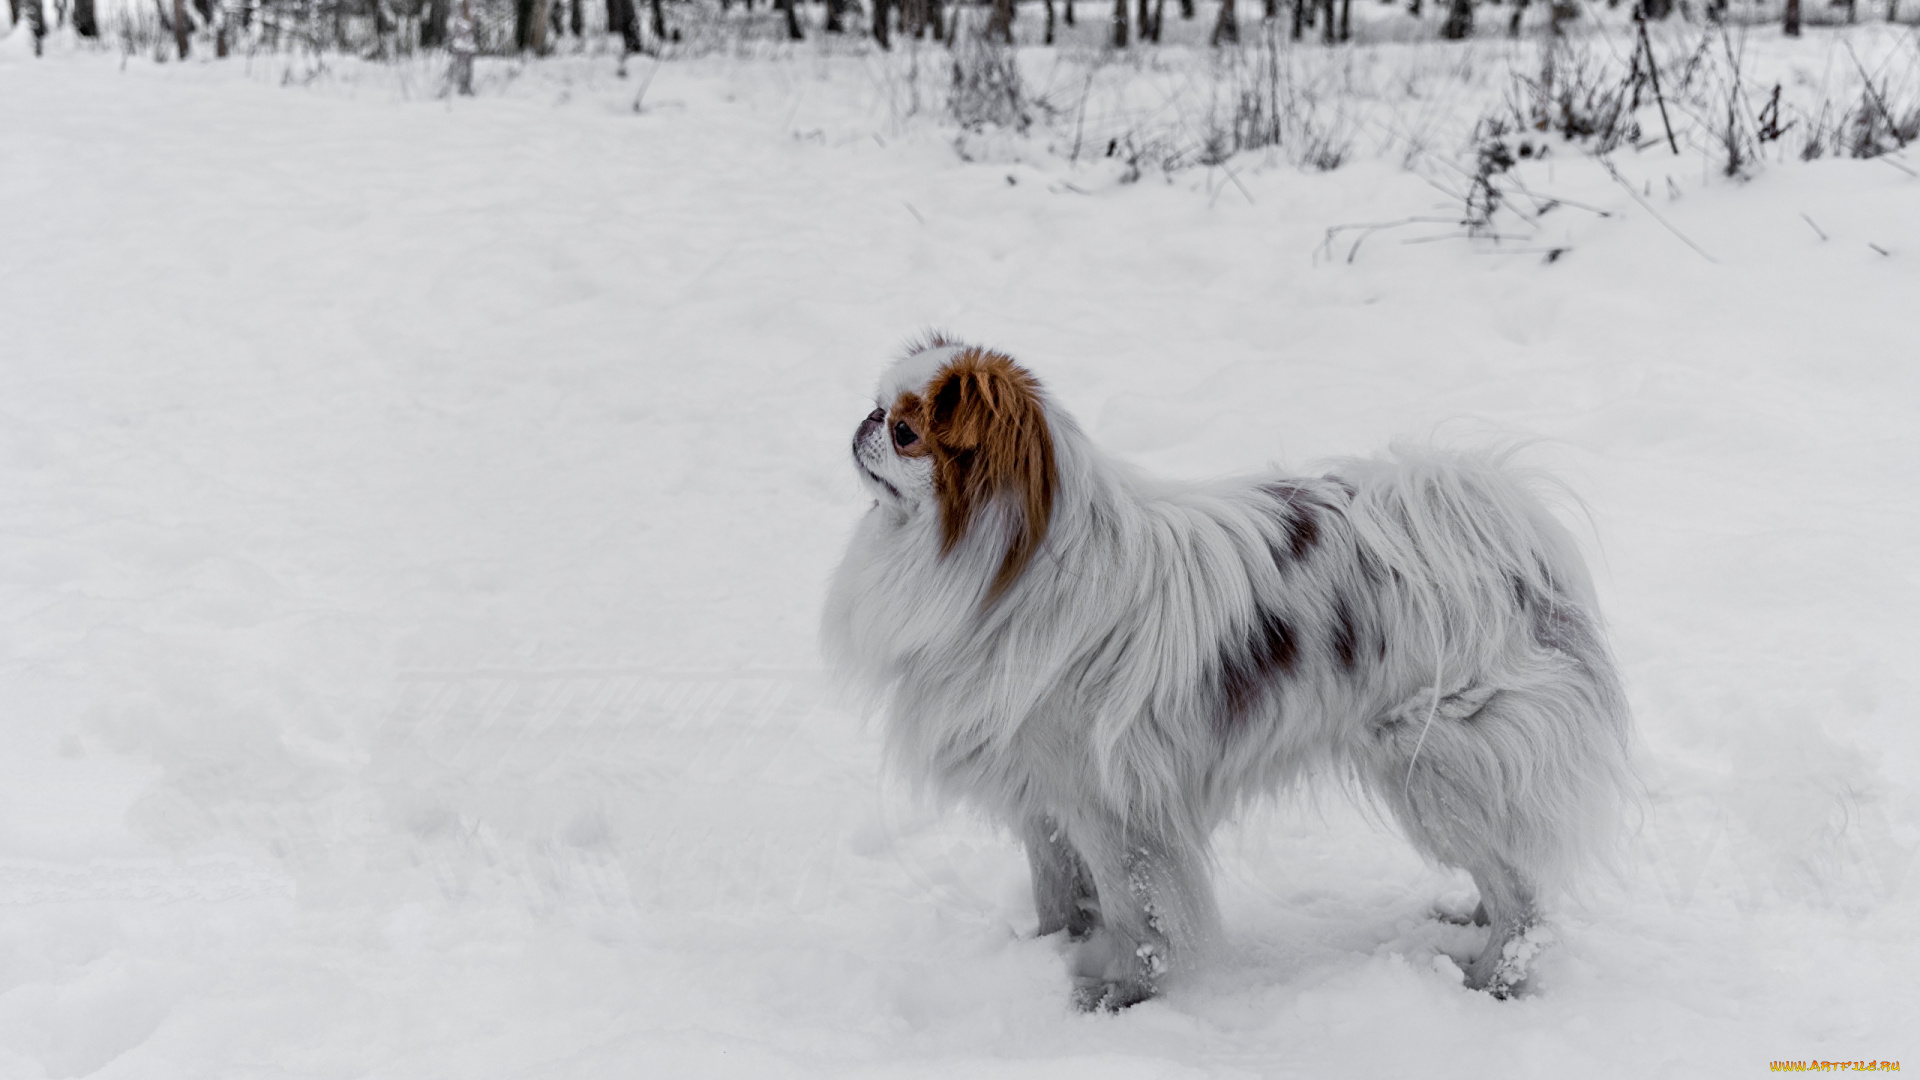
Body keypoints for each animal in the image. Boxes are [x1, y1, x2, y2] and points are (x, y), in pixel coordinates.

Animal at [825, 332, 1635, 1006]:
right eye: (879, 408)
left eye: (905, 432)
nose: (864, 421)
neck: (1000, 568)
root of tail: (1504, 550)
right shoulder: (1045, 800)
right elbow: (1058, 895)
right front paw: (1049, 955)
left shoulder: (1112, 810)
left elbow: (1136, 917)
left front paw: (1117, 997)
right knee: (1509, 867)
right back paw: (1468, 920)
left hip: (1436, 768)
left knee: (1526, 896)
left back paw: (1492, 979)